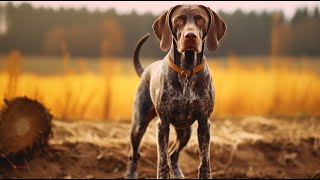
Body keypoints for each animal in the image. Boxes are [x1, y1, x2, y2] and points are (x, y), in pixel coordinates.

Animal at [124, 4, 226, 179]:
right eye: (178, 20)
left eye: (201, 19)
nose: (190, 36)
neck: (187, 71)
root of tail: (145, 71)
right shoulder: (163, 124)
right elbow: (162, 161)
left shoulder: (204, 123)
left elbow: (205, 160)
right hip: (139, 125)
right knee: (134, 154)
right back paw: (131, 174)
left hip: (185, 132)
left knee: (173, 154)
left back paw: (178, 173)